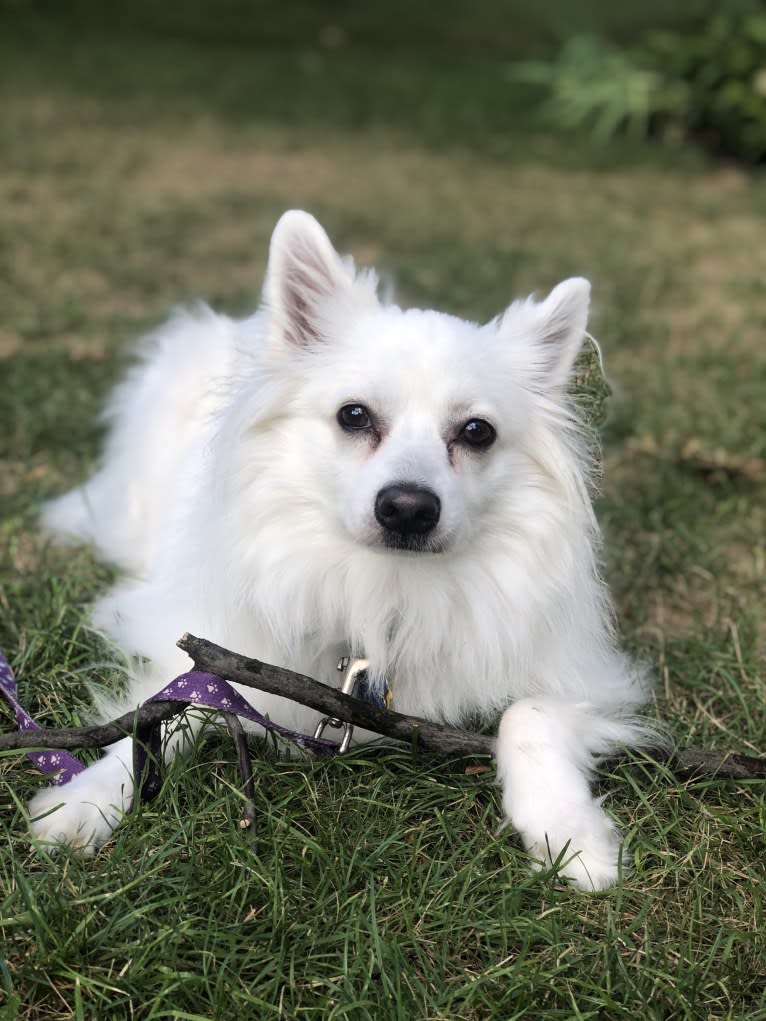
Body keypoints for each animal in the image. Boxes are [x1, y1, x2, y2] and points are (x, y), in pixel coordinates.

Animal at [31, 207, 653, 886]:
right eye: (354, 416)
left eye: (477, 432)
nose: (408, 507)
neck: (384, 586)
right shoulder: (208, 644)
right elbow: (166, 710)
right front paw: (87, 799)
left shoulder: (586, 675)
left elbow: (529, 715)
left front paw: (569, 832)